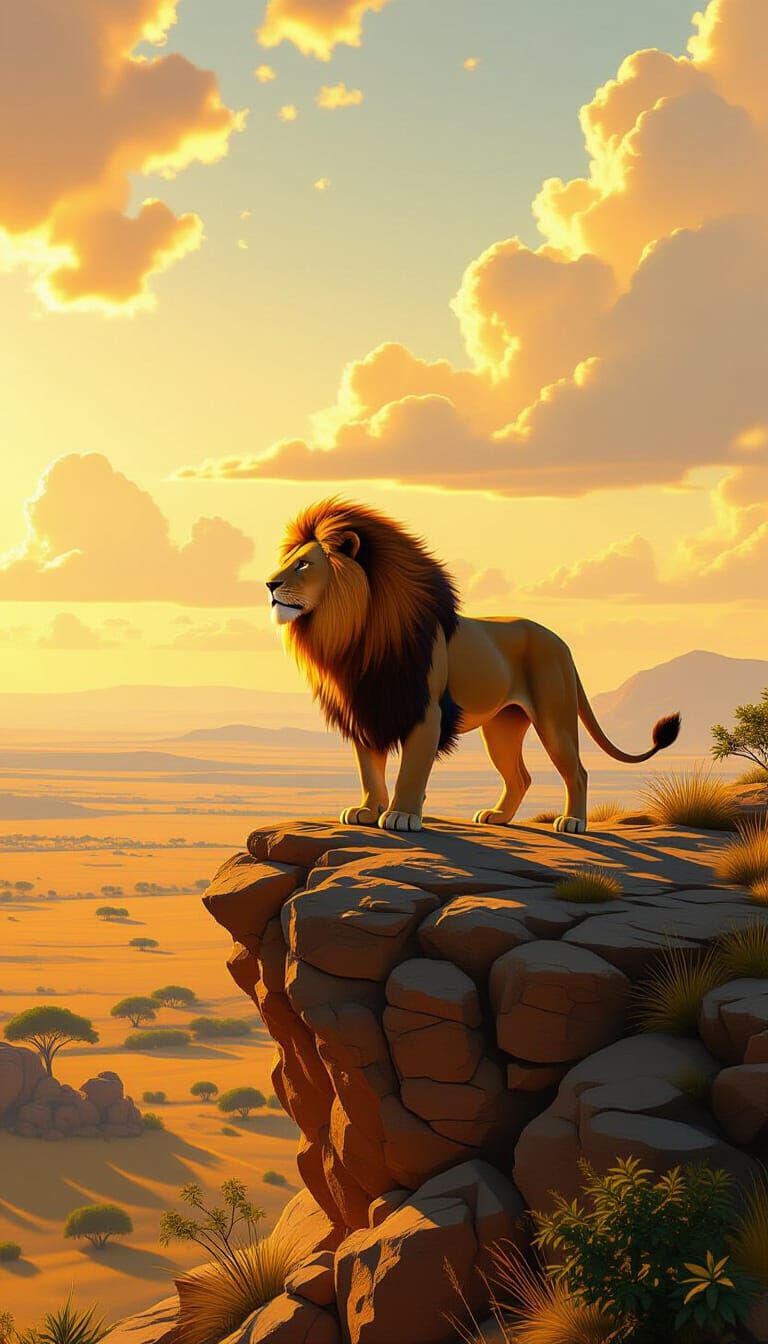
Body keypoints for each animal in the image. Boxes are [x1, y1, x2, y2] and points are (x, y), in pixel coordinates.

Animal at [266, 498, 680, 834]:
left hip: (554, 717)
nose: (269, 584)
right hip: (502, 726)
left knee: (576, 771)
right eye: (286, 562)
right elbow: (369, 769)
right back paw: (498, 817)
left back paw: (573, 822)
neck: (355, 634)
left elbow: (411, 771)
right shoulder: (368, 709)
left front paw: (402, 815)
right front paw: (367, 811)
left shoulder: (426, 712)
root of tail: (560, 641)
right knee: (520, 777)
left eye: (303, 564)